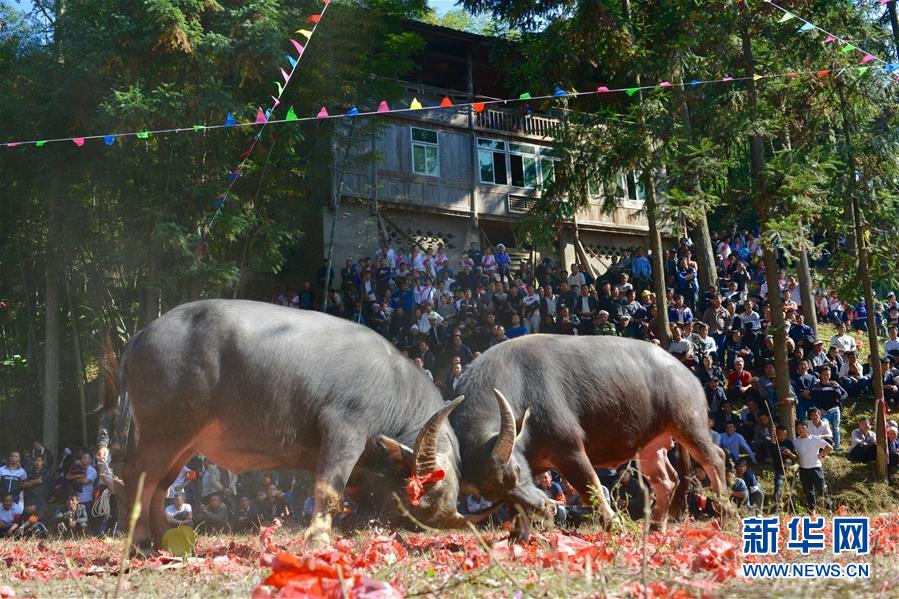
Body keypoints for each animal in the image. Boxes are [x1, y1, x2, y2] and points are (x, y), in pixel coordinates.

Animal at [100, 302, 472, 552]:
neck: (393, 386)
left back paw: (166, 541)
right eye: (428, 493)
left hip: (184, 441)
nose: (433, 520)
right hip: (164, 431)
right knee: (134, 478)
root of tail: (140, 337)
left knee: (159, 485)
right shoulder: (345, 428)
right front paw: (319, 539)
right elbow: (329, 487)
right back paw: (141, 542)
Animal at [454, 336, 728, 536]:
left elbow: (591, 487)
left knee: (714, 458)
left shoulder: (570, 449)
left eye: (516, 471)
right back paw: (655, 526)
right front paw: (518, 535)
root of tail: (686, 373)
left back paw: (725, 510)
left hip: (689, 423)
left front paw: (614, 526)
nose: (543, 507)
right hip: (650, 446)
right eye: (493, 495)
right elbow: (517, 509)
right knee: (667, 480)